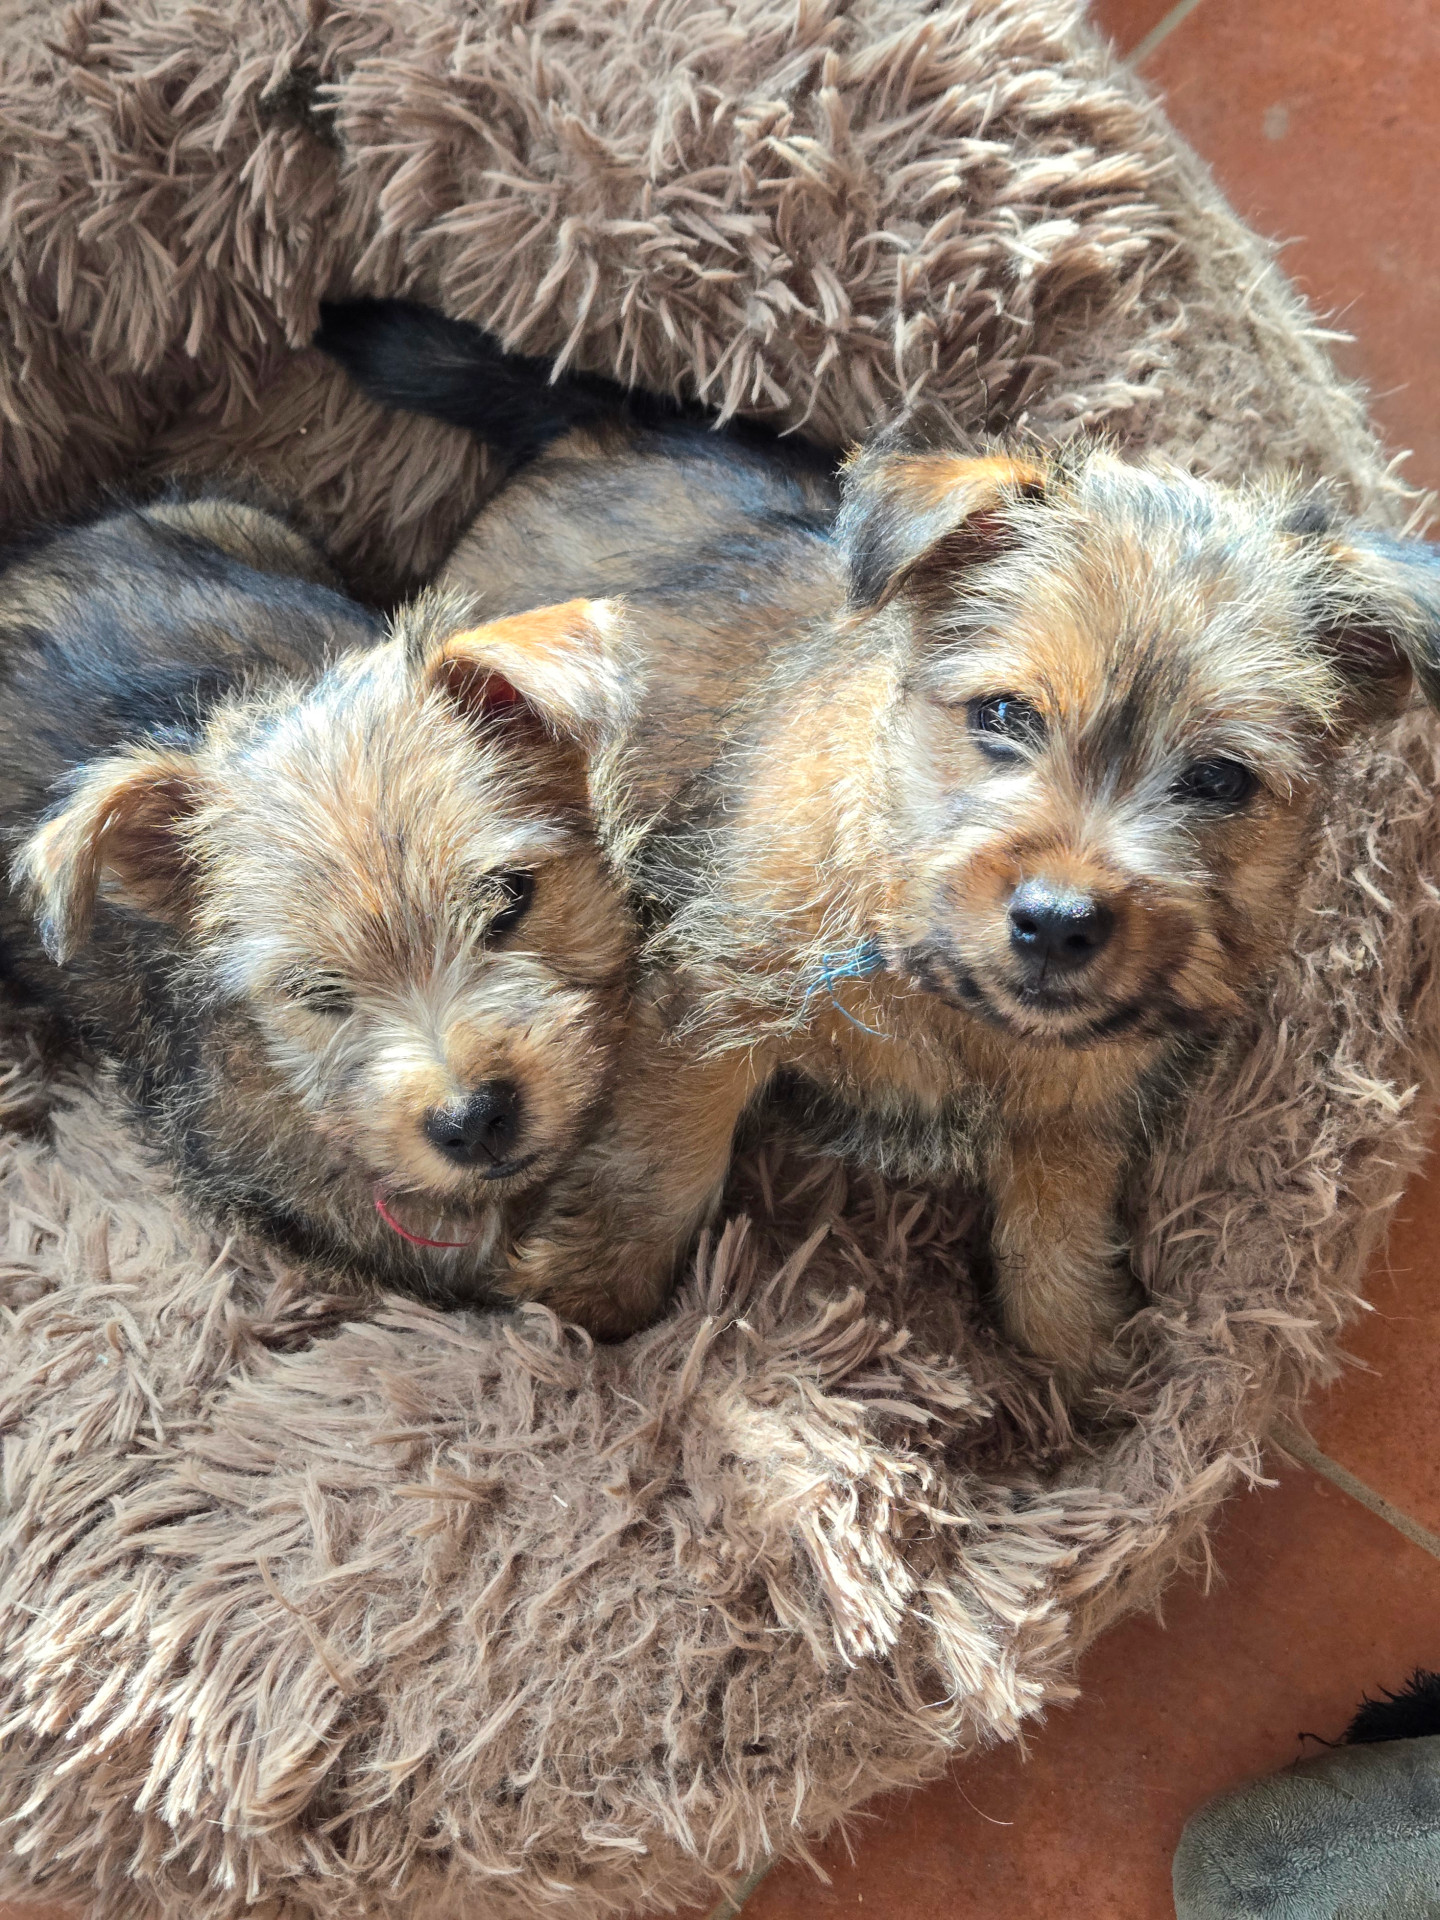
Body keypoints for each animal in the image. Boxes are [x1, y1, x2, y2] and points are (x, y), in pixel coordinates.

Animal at [317, 299, 1440, 1381]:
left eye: (1219, 779)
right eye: (1004, 715)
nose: (1058, 923)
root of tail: (605, 421)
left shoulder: (1082, 1108)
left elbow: (1059, 1230)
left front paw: (1081, 1361)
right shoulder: (704, 1010)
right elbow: (661, 1163)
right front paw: (585, 1300)